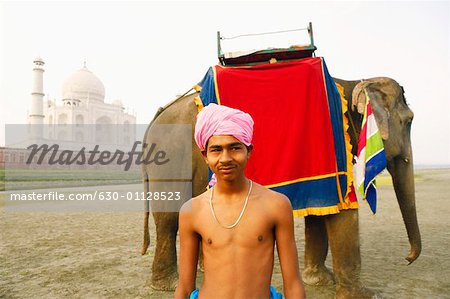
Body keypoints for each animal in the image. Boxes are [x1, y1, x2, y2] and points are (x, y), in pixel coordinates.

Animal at [141, 76, 422, 298]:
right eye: (409, 121)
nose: (408, 259)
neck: (353, 81)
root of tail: (155, 118)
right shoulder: (334, 146)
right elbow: (343, 209)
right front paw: (365, 295)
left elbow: (319, 208)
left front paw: (319, 280)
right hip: (171, 161)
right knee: (169, 220)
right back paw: (169, 285)